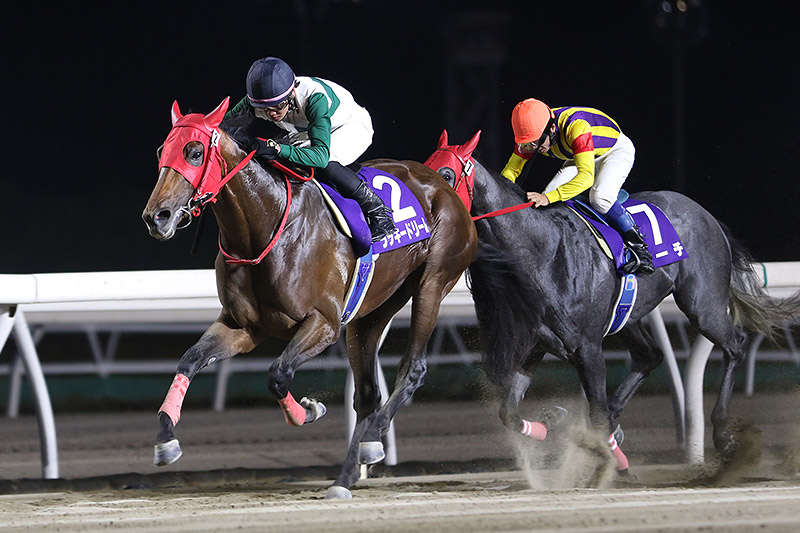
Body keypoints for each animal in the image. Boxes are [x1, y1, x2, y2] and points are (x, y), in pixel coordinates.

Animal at [141, 99, 477, 499]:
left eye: (194, 152)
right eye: (161, 151)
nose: (156, 217)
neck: (263, 227)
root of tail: (443, 185)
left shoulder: (324, 323)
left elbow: (277, 374)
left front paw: (308, 411)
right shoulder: (243, 327)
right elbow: (189, 360)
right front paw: (165, 440)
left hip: (433, 282)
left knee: (413, 369)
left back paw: (373, 439)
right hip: (373, 310)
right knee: (367, 393)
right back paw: (346, 476)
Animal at [424, 130, 800, 470]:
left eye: (447, 174)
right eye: (423, 168)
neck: (540, 251)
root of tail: (706, 215)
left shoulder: (587, 348)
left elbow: (594, 412)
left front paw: (612, 458)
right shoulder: (538, 342)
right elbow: (509, 412)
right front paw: (555, 420)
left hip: (702, 304)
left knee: (734, 345)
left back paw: (722, 434)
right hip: (629, 315)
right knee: (649, 356)